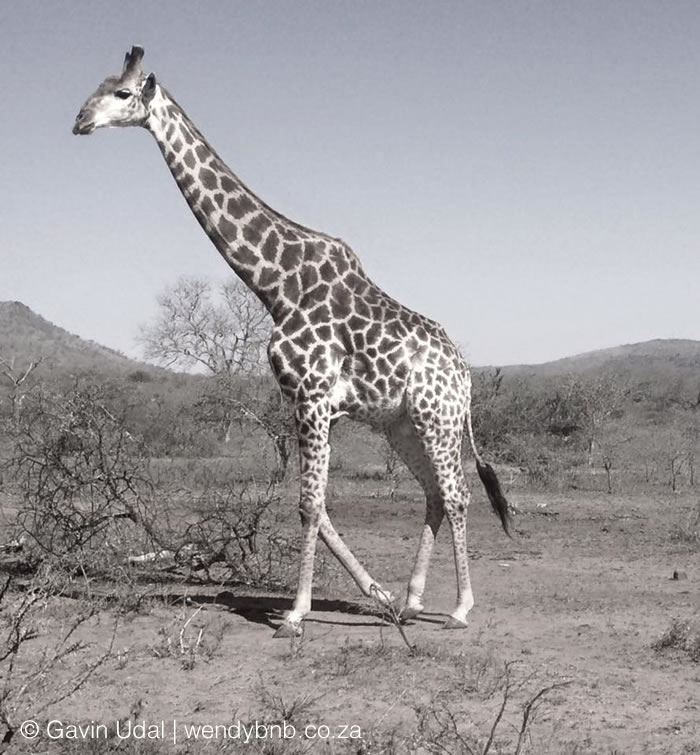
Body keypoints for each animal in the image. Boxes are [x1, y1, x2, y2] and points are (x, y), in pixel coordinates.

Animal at [74, 45, 512, 636]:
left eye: (121, 93)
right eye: (97, 87)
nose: (79, 121)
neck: (275, 285)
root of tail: (465, 376)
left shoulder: (312, 394)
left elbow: (308, 505)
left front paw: (297, 612)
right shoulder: (303, 401)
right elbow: (317, 506)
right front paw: (374, 592)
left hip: (436, 418)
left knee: (458, 494)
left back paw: (461, 609)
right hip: (400, 424)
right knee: (433, 495)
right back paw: (410, 600)